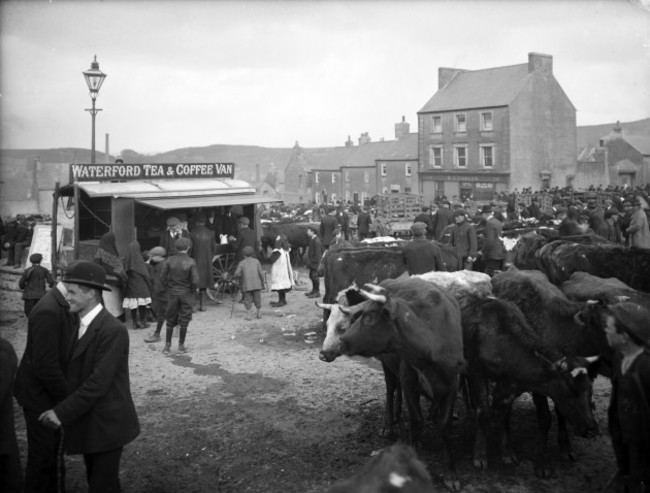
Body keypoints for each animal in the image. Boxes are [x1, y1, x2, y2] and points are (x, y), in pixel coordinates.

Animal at [336, 278, 464, 490]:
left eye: (369, 318)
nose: (342, 341)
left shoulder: (453, 382)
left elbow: (445, 425)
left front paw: (451, 472)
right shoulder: (408, 379)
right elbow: (416, 420)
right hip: (387, 363)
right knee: (390, 389)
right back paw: (389, 423)